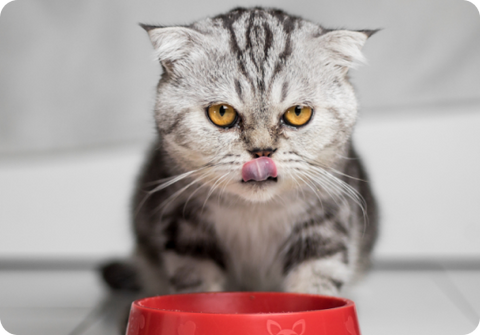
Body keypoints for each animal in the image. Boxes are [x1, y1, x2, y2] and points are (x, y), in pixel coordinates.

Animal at [101, 6, 378, 302]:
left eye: (298, 113)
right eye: (222, 113)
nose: (262, 151)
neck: (254, 213)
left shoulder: (325, 225)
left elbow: (316, 283)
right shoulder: (186, 232)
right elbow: (196, 287)